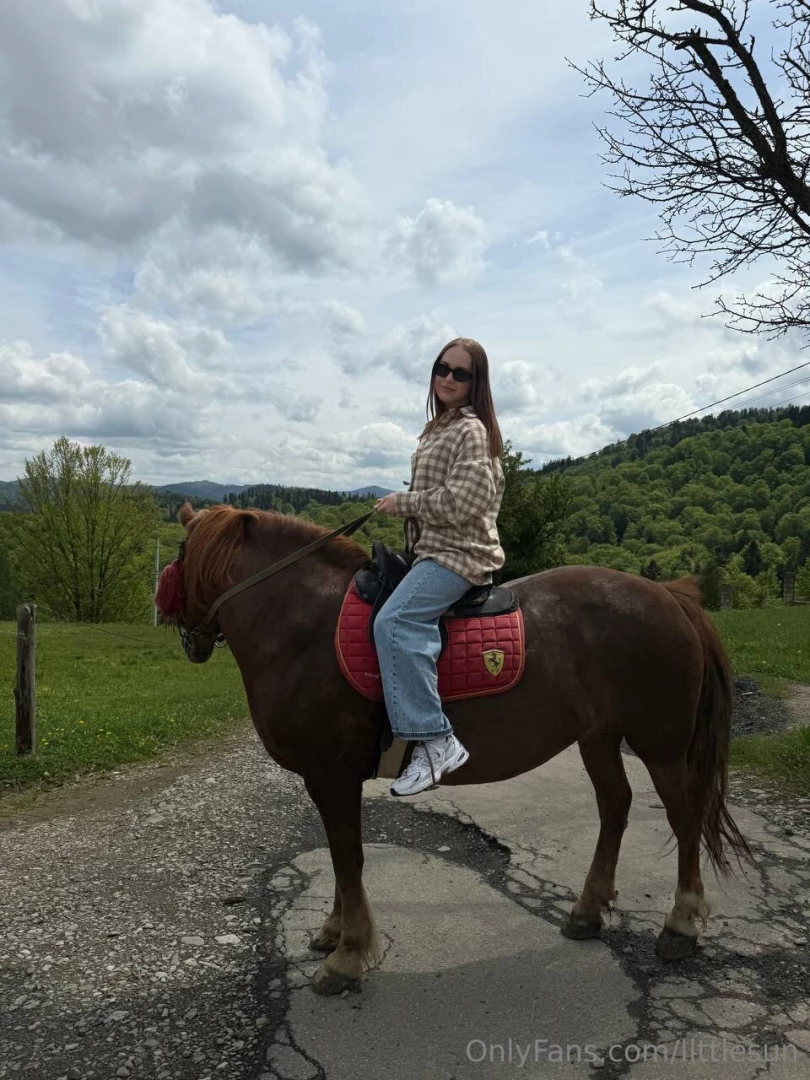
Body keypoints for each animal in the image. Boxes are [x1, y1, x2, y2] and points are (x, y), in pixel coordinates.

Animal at [163, 501, 749, 996]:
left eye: (179, 555)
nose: (186, 636)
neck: (306, 626)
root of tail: (669, 595)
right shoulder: (331, 780)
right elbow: (339, 859)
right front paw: (335, 933)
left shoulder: (331, 776)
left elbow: (348, 859)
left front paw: (347, 956)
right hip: (599, 738)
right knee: (615, 808)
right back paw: (587, 911)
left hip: (662, 746)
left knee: (684, 818)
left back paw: (680, 925)